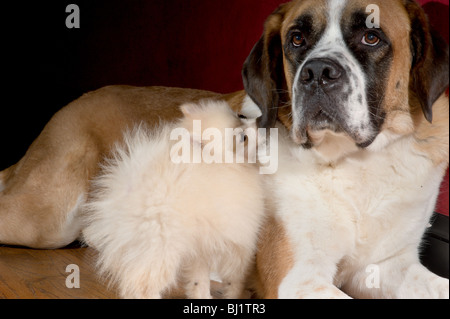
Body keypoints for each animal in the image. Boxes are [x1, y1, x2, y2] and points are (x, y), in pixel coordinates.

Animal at [81, 100, 264, 300]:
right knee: (142, 284)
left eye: (241, 116)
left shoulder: (200, 244)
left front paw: (202, 296)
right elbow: (236, 276)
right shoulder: (239, 237)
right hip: (162, 246)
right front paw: (239, 294)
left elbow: (199, 279)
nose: (261, 123)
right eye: (243, 138)